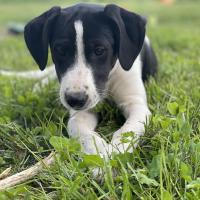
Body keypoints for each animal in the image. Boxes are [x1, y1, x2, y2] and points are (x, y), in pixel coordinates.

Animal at [23, 3, 158, 158]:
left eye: (99, 50)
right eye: (60, 50)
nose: (75, 100)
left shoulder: (136, 104)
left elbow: (128, 131)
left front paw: (117, 151)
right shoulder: (81, 112)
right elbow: (77, 127)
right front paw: (98, 152)